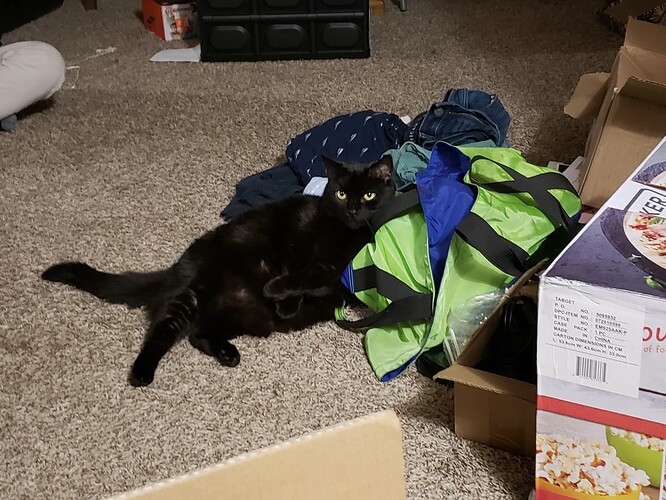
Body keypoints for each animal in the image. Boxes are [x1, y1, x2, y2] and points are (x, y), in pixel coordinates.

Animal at [41, 156, 394, 386]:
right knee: (162, 332)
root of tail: (175, 269)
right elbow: (297, 266)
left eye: (368, 195)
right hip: (193, 295)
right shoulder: (296, 234)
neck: (340, 234)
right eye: (341, 193)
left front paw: (282, 296)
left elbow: (313, 276)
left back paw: (228, 353)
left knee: (198, 334)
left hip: (242, 316)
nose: (353, 209)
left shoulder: (338, 269)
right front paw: (281, 297)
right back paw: (142, 373)